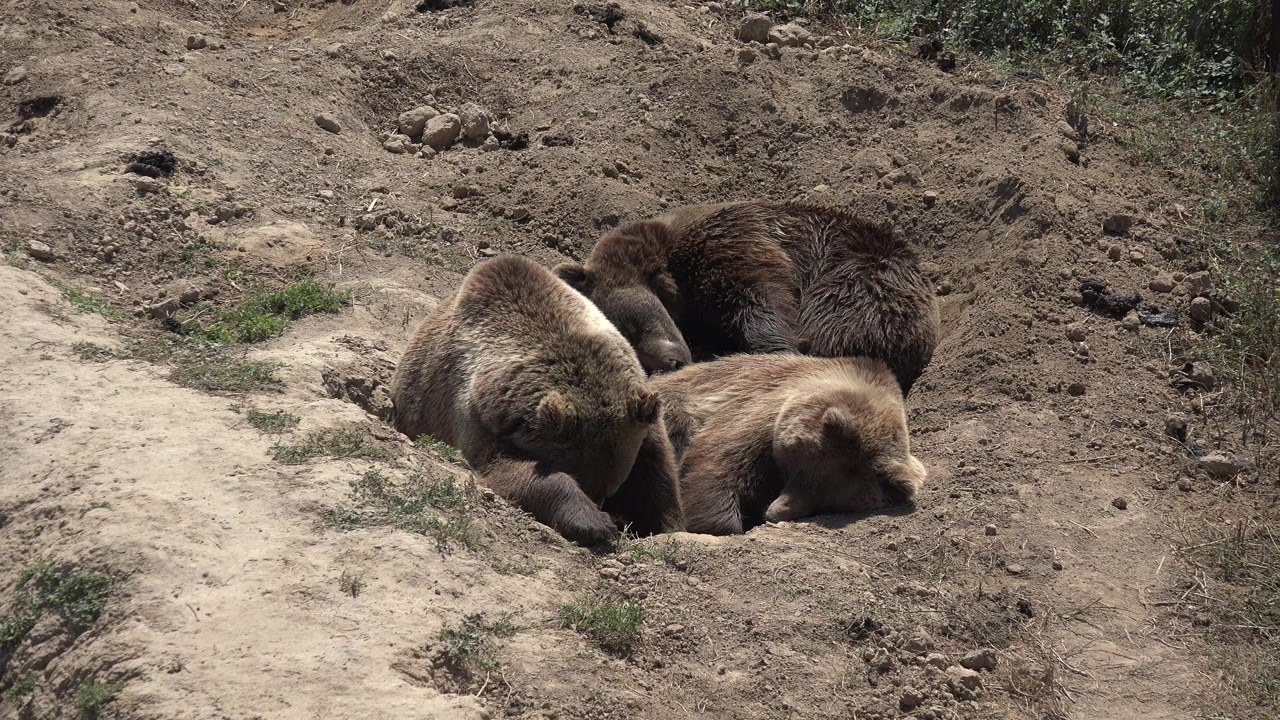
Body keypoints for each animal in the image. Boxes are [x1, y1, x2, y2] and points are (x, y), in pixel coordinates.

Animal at [390, 254, 684, 544]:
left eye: (612, 486)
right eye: (584, 480)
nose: (601, 504)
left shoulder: (643, 423)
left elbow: (659, 475)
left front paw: (664, 525)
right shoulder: (479, 416)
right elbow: (509, 470)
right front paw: (593, 522)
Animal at [650, 353, 926, 535]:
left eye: (827, 503)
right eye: (800, 471)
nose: (773, 513)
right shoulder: (761, 408)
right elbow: (717, 464)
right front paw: (722, 526)